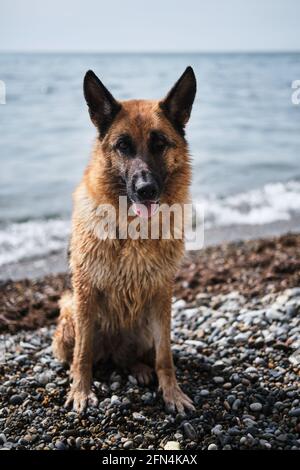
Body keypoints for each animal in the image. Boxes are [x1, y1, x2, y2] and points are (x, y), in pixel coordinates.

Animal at [52, 65, 197, 412]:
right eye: (123, 146)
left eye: (159, 144)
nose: (146, 190)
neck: (132, 230)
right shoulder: (85, 292)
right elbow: (83, 355)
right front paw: (80, 391)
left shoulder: (161, 294)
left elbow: (165, 356)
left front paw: (172, 392)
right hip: (69, 314)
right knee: (87, 354)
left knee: (131, 356)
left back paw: (139, 368)